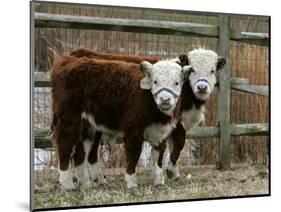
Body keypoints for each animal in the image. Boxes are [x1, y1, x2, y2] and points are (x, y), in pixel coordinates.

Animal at [51, 53, 189, 189]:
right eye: (155, 81)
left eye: (176, 83)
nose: (165, 99)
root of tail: (67, 60)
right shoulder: (133, 128)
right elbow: (134, 153)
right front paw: (131, 182)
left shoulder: (161, 131)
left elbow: (158, 156)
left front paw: (159, 181)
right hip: (69, 118)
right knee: (65, 145)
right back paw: (67, 184)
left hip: (89, 125)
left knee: (81, 152)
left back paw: (86, 184)